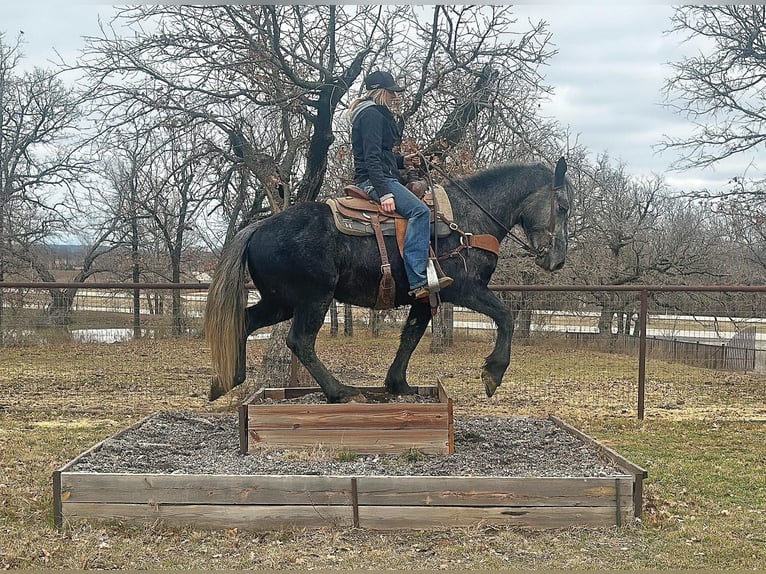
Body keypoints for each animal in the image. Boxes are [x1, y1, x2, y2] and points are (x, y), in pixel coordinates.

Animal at [202, 155, 568, 402]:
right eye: (563, 206)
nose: (557, 259)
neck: (467, 220)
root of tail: (259, 226)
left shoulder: (425, 296)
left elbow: (410, 337)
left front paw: (398, 384)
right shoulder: (466, 289)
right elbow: (505, 316)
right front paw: (493, 373)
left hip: (280, 302)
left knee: (245, 321)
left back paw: (225, 379)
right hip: (313, 299)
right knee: (299, 341)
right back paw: (341, 391)